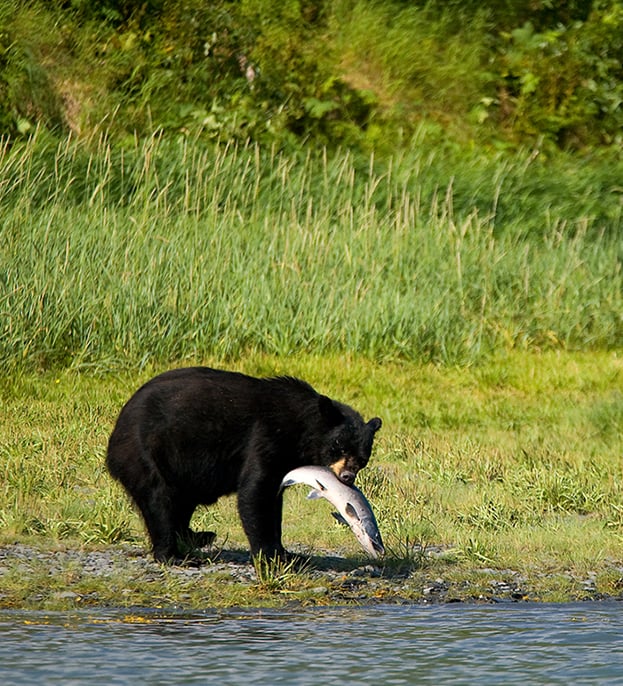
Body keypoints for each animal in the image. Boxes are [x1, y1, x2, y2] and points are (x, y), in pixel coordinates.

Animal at [105, 370, 382, 564]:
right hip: (146, 451)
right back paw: (173, 555)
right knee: (159, 498)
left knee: (182, 501)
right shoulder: (267, 437)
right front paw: (270, 555)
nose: (346, 477)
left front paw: (286, 552)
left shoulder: (285, 459)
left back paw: (197, 536)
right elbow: (256, 492)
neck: (302, 428)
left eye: (362, 458)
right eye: (340, 447)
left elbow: (273, 499)